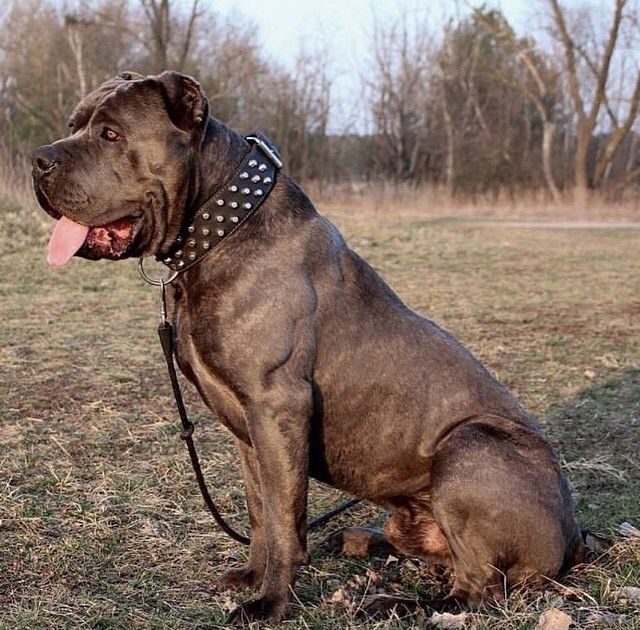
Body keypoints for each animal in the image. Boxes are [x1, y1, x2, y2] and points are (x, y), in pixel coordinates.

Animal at [31, 71, 584, 624]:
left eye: (111, 134)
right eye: (73, 125)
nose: (38, 158)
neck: (219, 228)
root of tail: (576, 536)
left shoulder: (279, 407)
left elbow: (283, 520)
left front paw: (272, 603)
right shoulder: (250, 429)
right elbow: (261, 510)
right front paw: (251, 576)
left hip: (469, 447)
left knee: (476, 588)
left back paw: (391, 602)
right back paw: (356, 538)